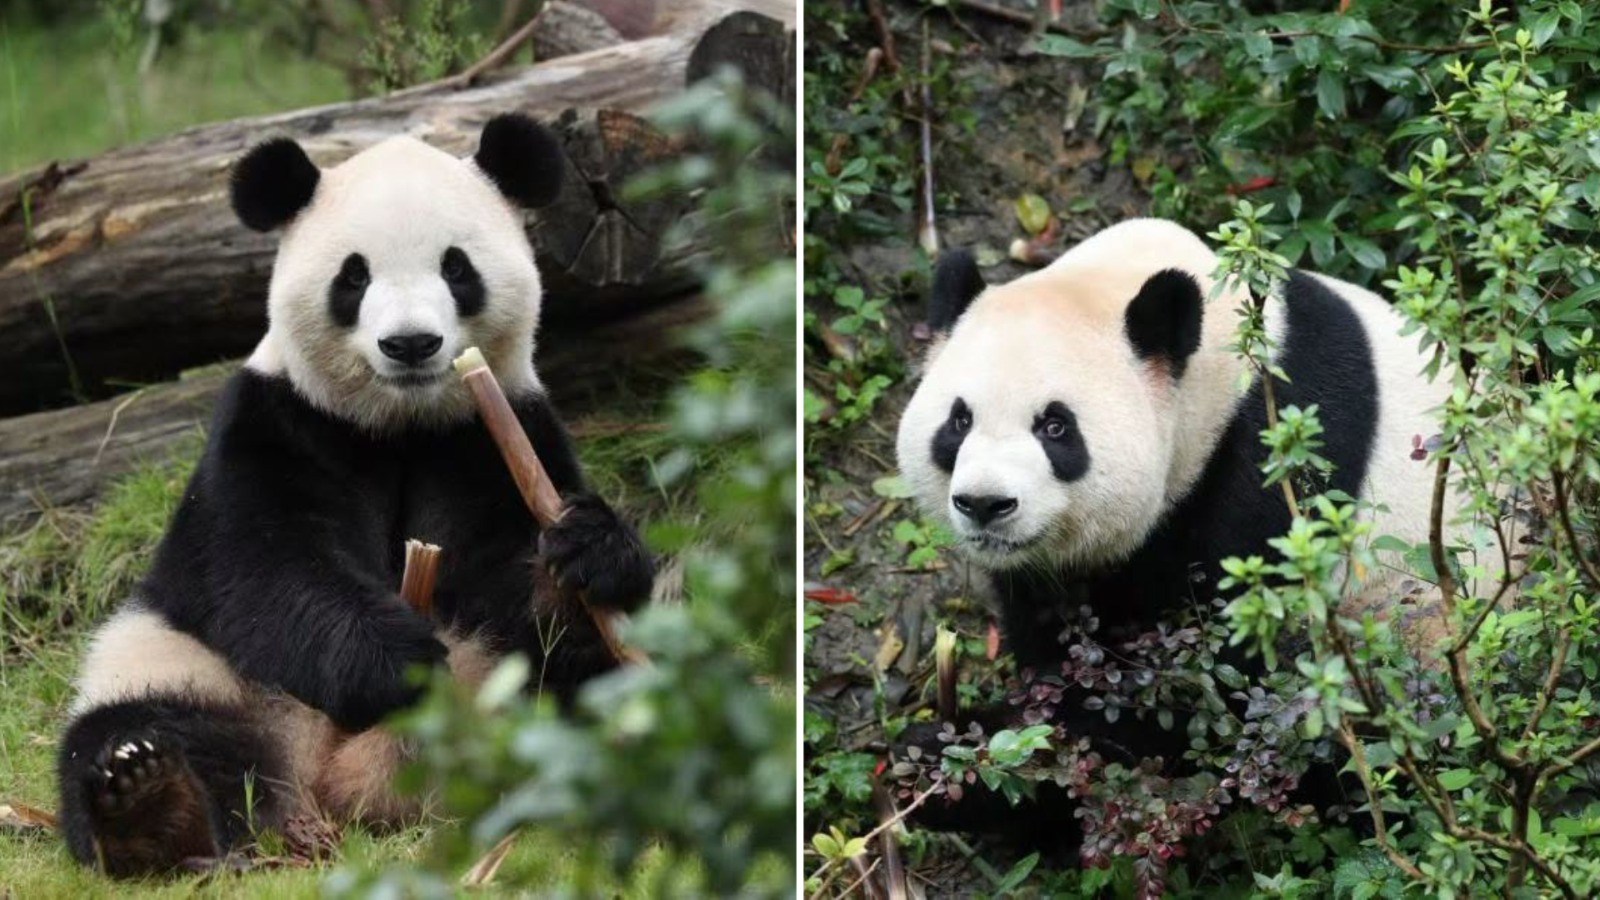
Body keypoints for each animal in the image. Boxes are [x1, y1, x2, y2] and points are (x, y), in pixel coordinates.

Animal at [56, 115, 656, 876]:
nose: (411, 344)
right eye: (354, 275)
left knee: (585, 692)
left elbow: (510, 581)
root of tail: (334, 788)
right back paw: (152, 804)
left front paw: (585, 553)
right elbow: (264, 567)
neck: (399, 424)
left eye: (456, 268)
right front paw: (394, 661)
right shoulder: (275, 423)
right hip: (182, 663)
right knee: (140, 726)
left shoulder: (492, 434)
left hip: (499, 689)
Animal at [894, 218, 1458, 832]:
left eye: (1055, 427)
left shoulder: (1276, 469)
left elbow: (1198, 694)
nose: (985, 503)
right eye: (959, 421)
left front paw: (958, 766)